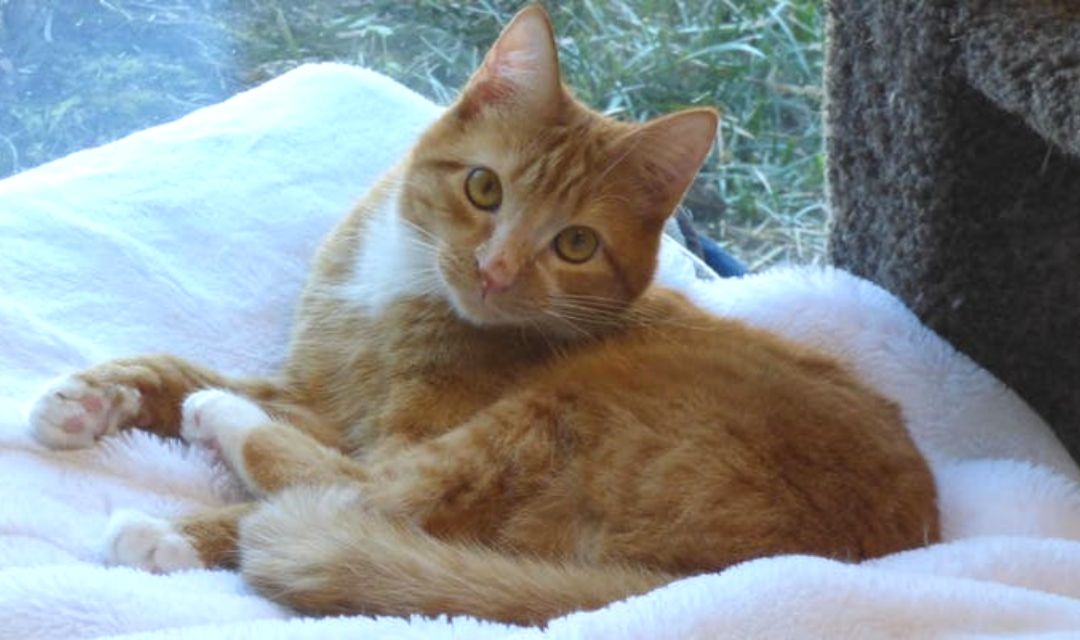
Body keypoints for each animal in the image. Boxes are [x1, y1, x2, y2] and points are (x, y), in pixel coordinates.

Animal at [25, 4, 937, 625]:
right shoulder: (316, 394)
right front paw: (92, 398)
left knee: (368, 500)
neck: (396, 290)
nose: (496, 270)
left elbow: (341, 477)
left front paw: (183, 484)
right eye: (484, 188)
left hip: (557, 410)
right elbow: (176, 368)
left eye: (575, 243)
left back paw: (182, 501)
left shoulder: (386, 432)